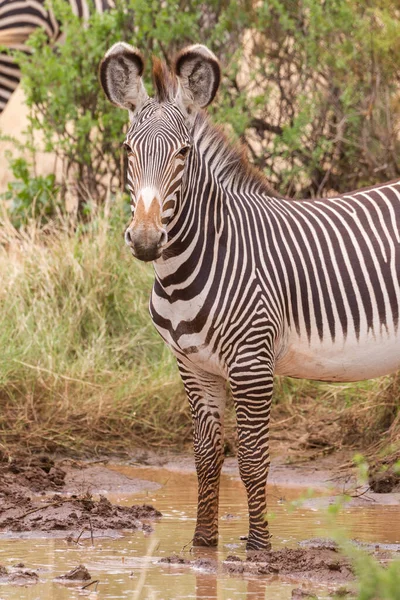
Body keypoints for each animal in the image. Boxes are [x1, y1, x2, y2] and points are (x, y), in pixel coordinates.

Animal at [99, 41, 400, 548]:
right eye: (127, 150)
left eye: (183, 153)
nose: (144, 240)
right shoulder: (193, 366)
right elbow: (206, 457)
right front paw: (202, 546)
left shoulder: (252, 363)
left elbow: (253, 460)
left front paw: (259, 549)